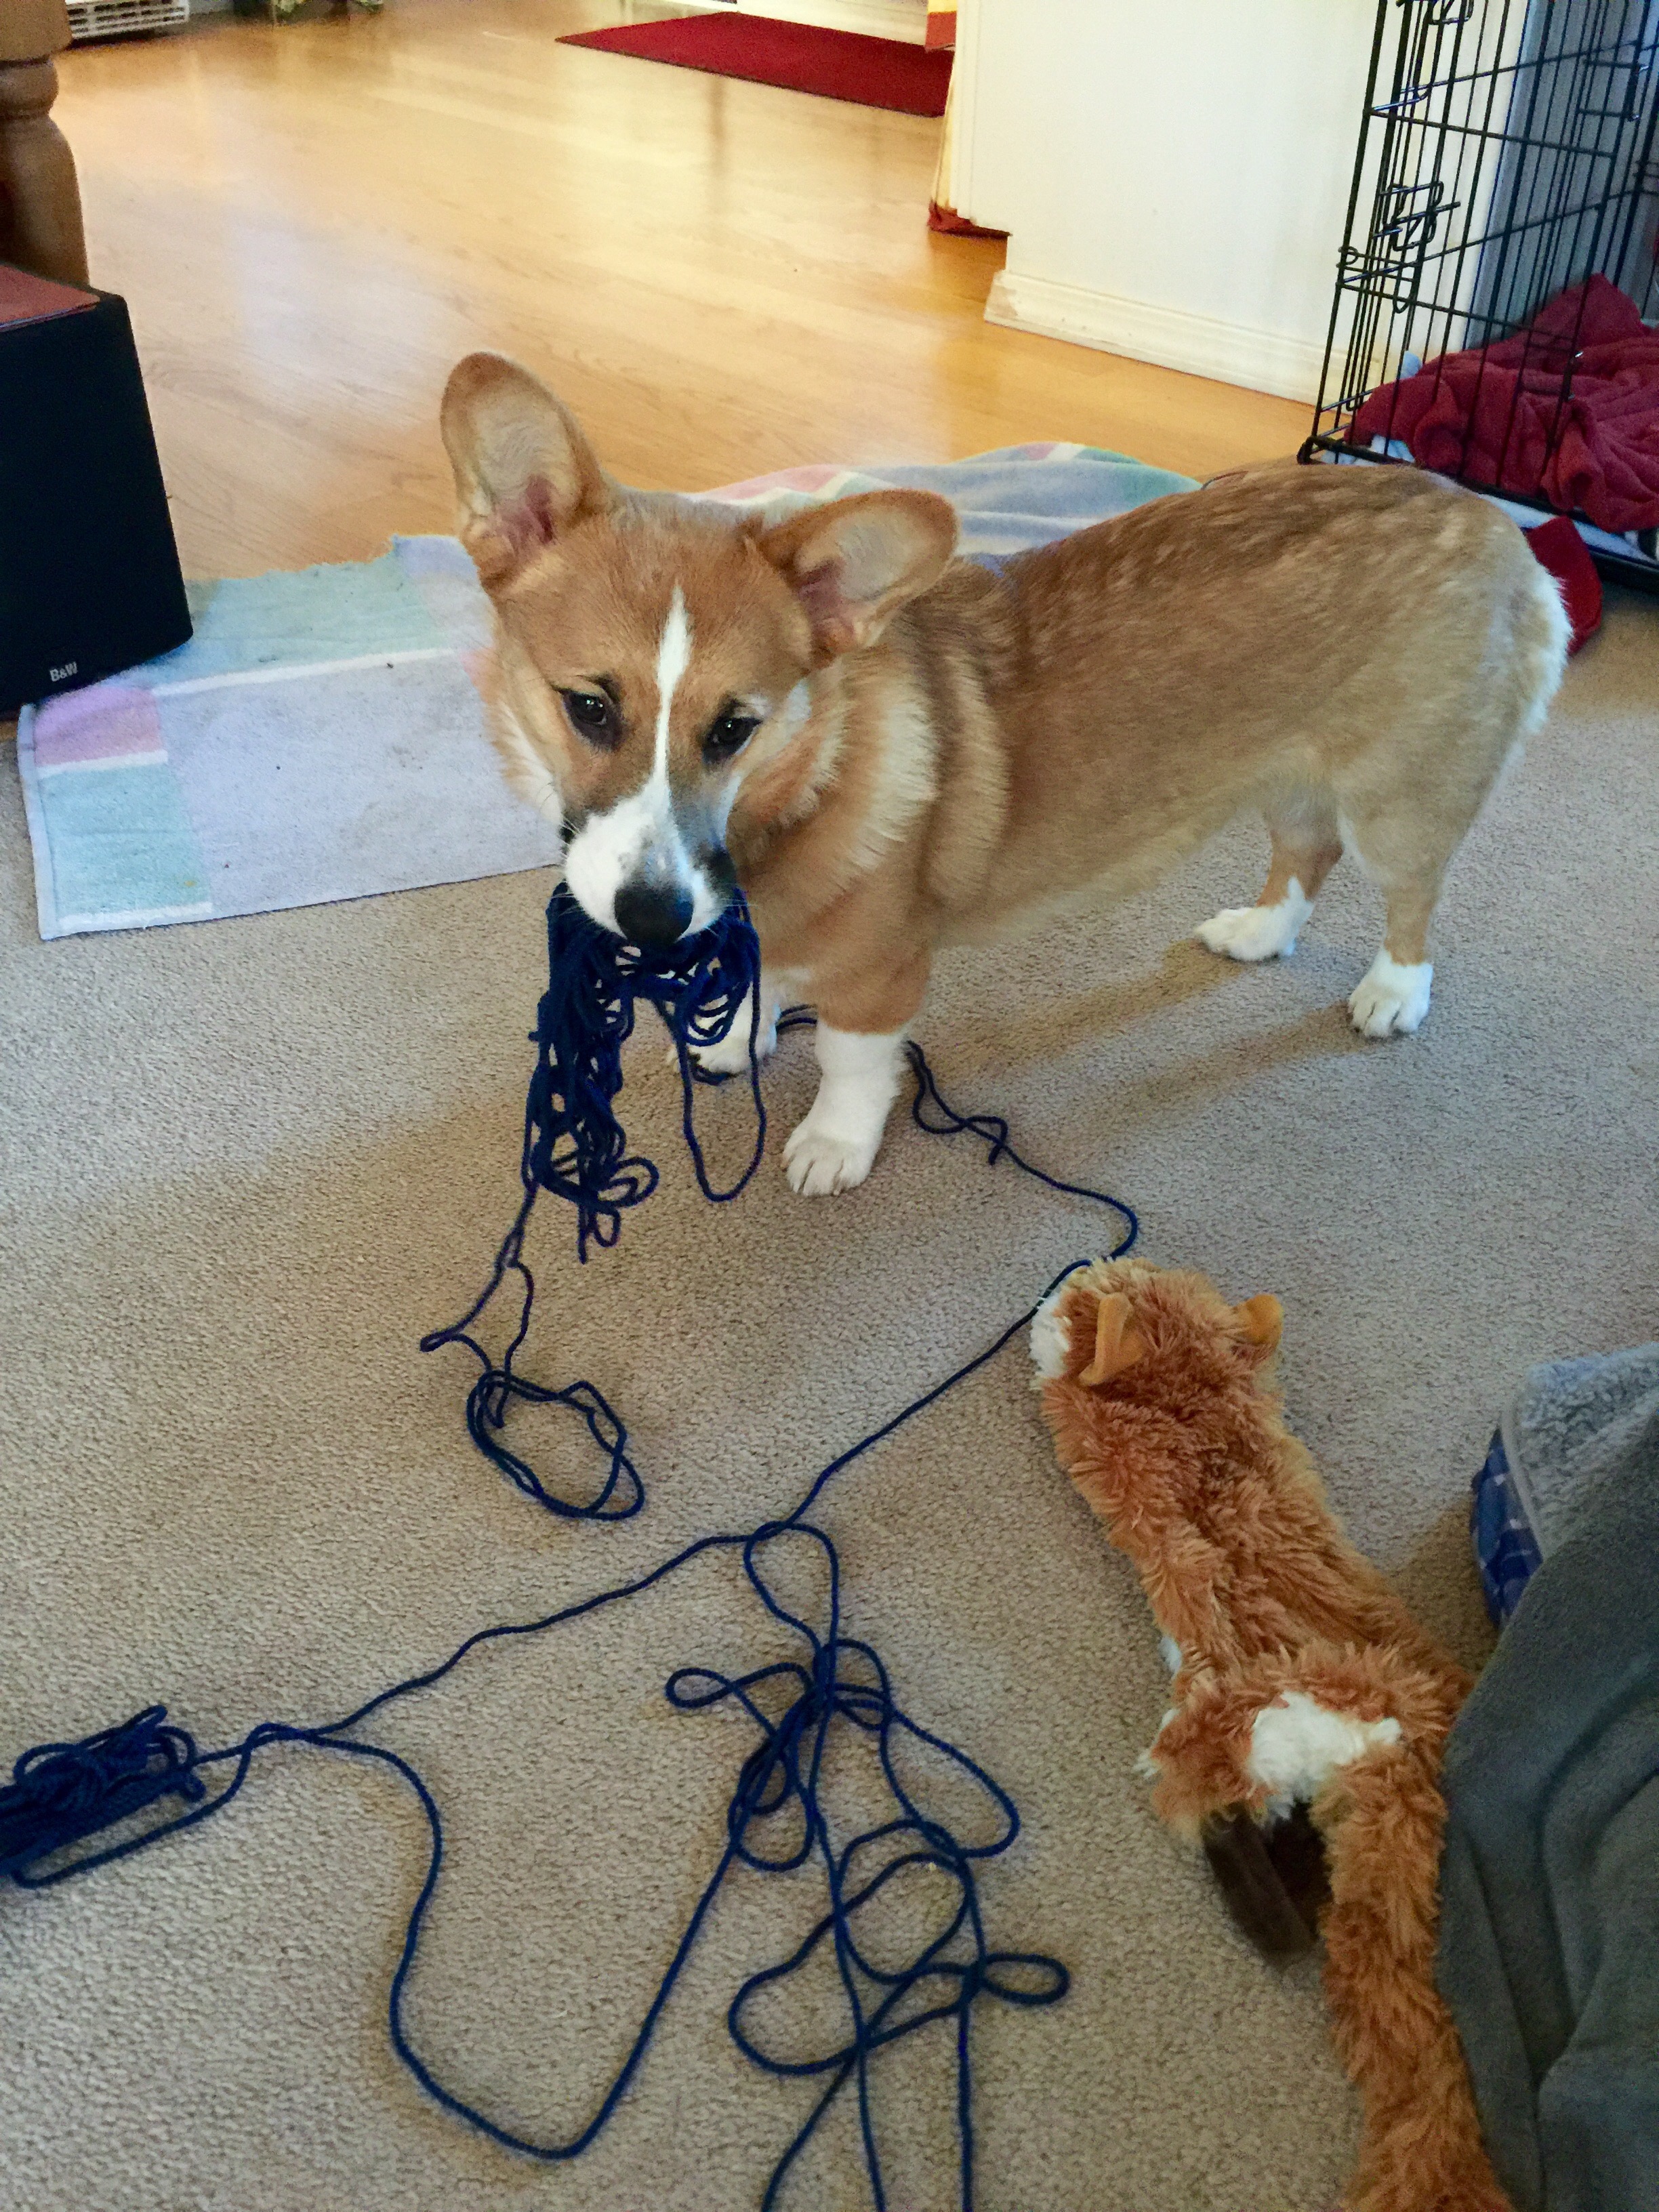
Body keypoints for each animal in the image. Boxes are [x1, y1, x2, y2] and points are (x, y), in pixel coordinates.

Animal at [440, 352, 1569, 1197]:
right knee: (1306, 851)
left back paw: (1391, 994)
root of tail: (1499, 523)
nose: (654, 917)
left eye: (734, 729)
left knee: (1411, 895)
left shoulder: (880, 980)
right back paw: (1258, 934)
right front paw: (732, 1041)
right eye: (589, 708)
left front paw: (833, 1148)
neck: (798, 789)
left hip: (1400, 797)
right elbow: (760, 991)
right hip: (1289, 772)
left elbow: (853, 1065)